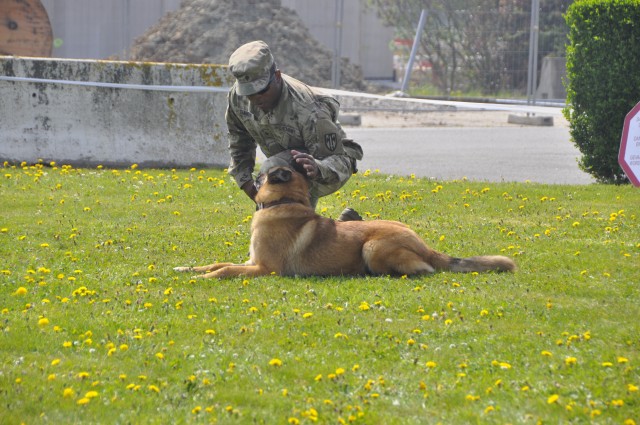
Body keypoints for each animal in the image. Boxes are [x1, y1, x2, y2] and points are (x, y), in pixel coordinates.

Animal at [174, 166, 516, 278]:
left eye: (262, 174)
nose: (247, 175)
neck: (285, 202)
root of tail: (426, 247)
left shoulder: (264, 268)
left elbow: (225, 270)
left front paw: (204, 279)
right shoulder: (251, 261)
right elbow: (218, 263)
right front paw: (188, 269)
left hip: (372, 247)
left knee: (420, 270)